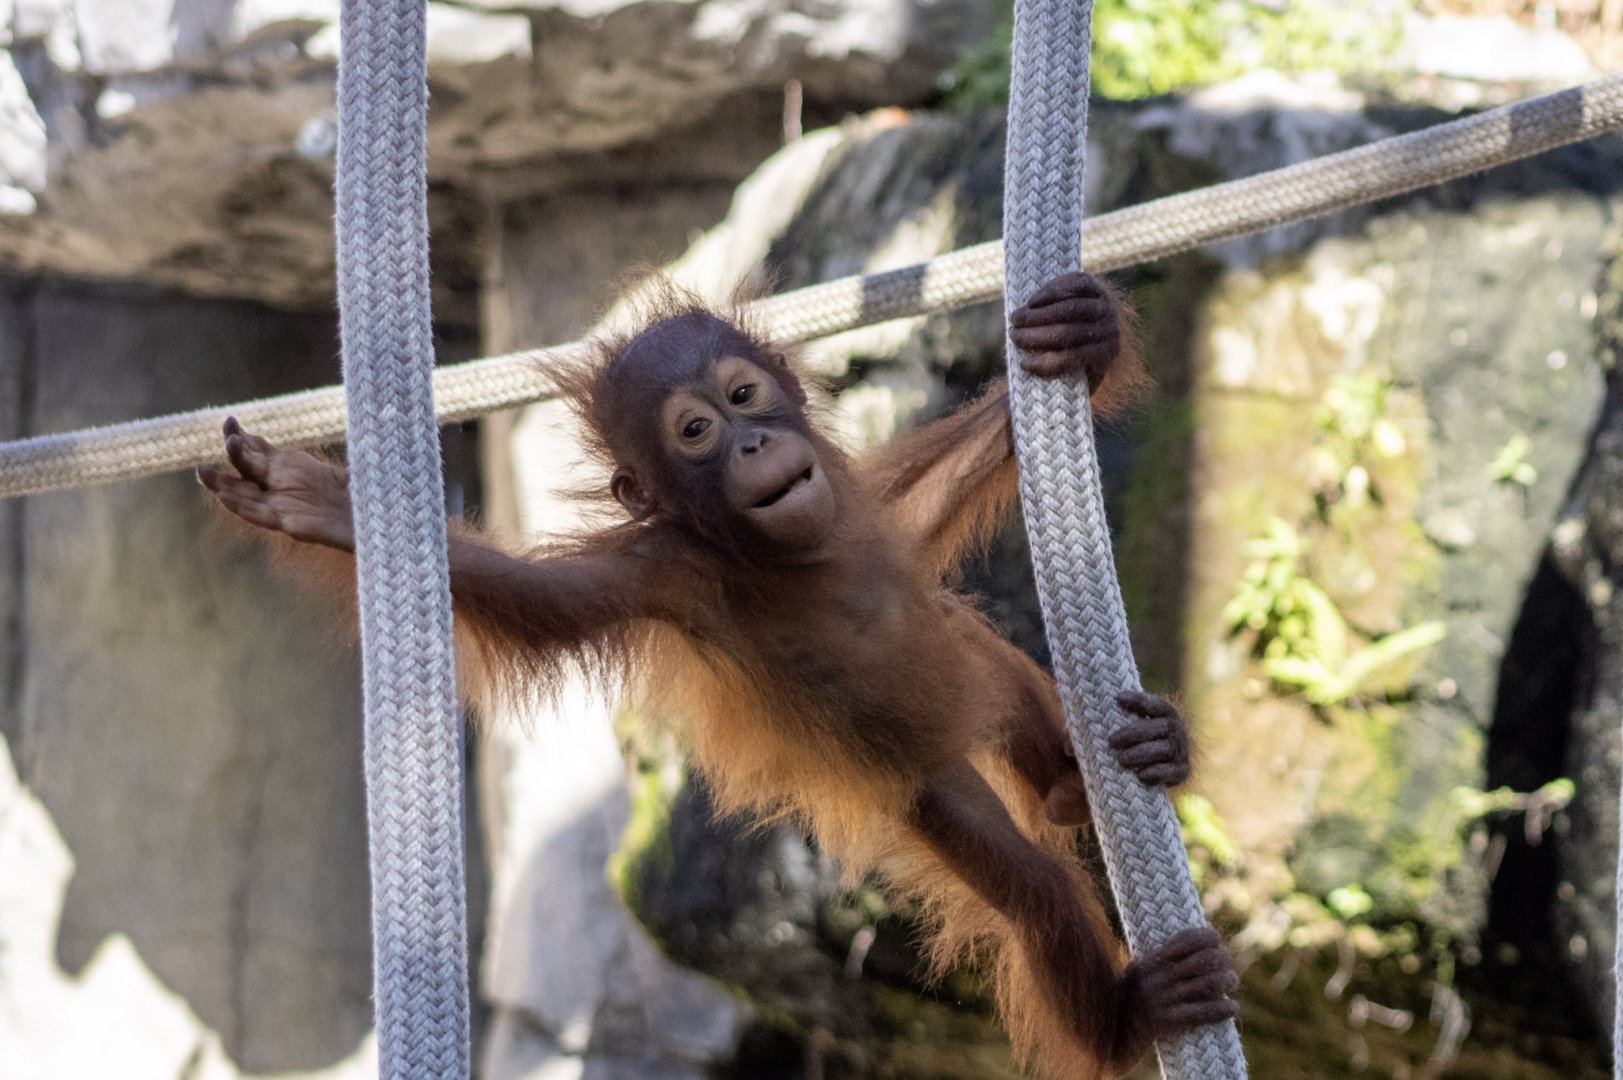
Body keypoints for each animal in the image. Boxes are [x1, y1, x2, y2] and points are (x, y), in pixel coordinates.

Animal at [200, 272, 1238, 1079]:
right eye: (694, 430)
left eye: (744, 394)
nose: (750, 444)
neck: (794, 555)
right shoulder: (667, 573)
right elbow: (540, 597)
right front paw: (315, 504)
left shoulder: (861, 515)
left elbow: (924, 512)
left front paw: (1088, 336)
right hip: (929, 793)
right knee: (1031, 891)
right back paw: (1129, 1012)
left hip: (970, 691)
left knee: (979, 657)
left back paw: (1102, 764)